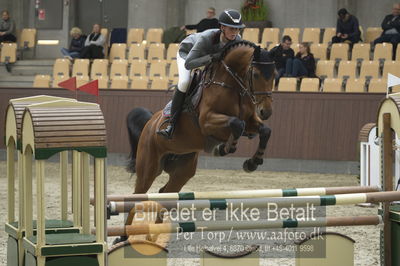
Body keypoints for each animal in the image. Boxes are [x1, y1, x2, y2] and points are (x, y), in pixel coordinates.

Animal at [126, 41, 276, 195]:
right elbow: (237, 123)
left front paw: (252, 163)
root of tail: (150, 123)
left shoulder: (250, 121)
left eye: (274, 75)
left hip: (182, 170)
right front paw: (222, 149)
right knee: (140, 191)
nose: (266, 112)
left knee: (166, 190)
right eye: (256, 74)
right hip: (148, 169)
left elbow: (265, 130)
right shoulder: (207, 122)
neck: (231, 85)